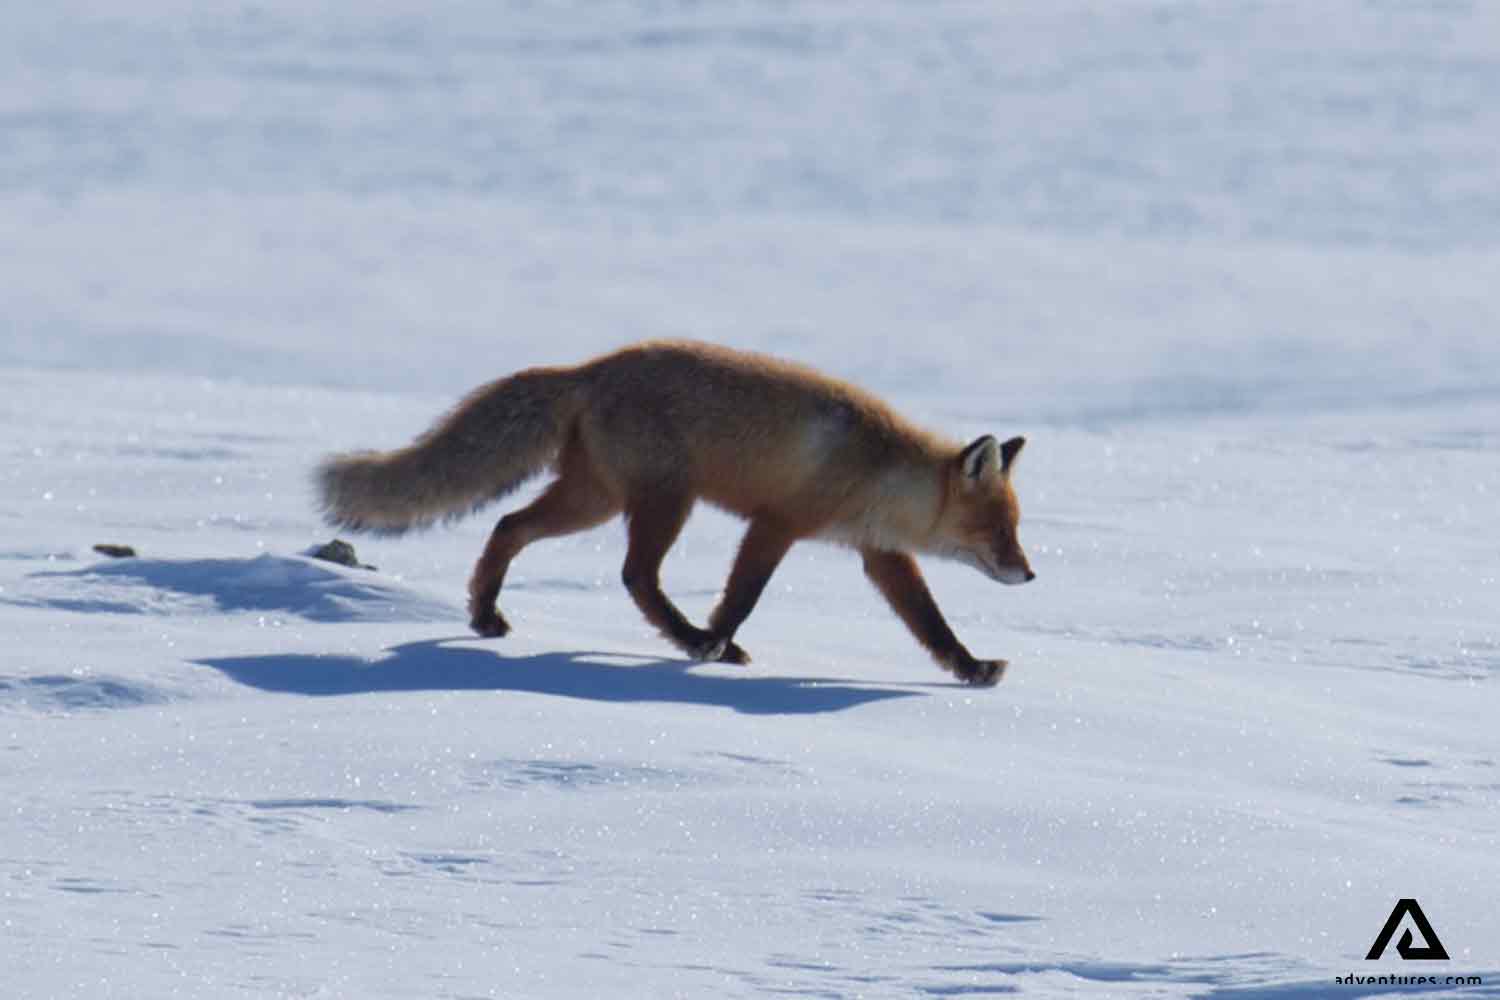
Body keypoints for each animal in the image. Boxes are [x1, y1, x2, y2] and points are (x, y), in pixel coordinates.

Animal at [316, 340, 1034, 686]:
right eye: (1001, 530)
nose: (1029, 575)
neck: (878, 471)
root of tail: (590, 368)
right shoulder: (776, 523)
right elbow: (742, 596)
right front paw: (714, 642)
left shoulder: (879, 554)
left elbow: (931, 624)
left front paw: (970, 669)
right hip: (663, 502)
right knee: (635, 576)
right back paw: (690, 638)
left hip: (595, 501)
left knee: (506, 527)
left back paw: (484, 615)